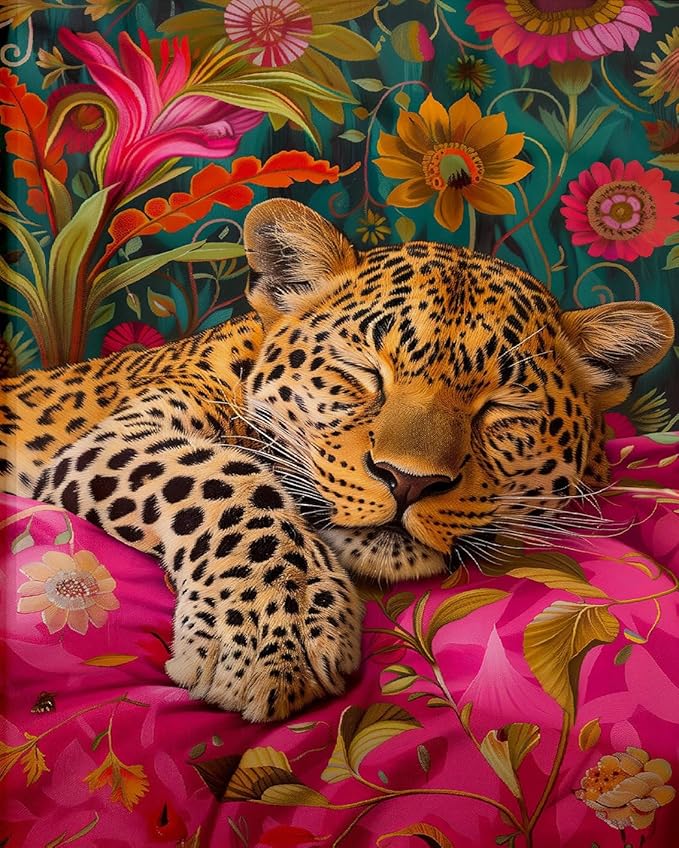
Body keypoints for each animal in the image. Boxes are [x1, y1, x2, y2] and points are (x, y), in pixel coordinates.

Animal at [0, 199, 674, 722]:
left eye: (500, 409)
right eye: (363, 373)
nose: (408, 481)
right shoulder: (120, 435)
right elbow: (224, 478)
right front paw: (273, 638)